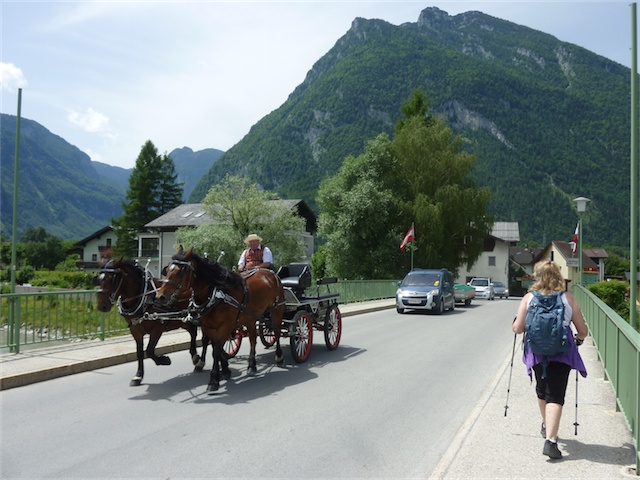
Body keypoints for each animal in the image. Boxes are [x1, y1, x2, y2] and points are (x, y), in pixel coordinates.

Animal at [94, 258, 205, 386]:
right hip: (183, 321)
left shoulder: (157, 329)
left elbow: (149, 351)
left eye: (112, 279)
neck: (144, 296)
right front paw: (138, 375)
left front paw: (164, 360)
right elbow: (140, 352)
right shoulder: (135, 330)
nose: (101, 306)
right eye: (99, 279)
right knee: (193, 333)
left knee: (204, 338)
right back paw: (195, 357)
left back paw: (199, 362)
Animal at [152, 248, 284, 394]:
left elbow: (216, 351)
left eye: (180, 271)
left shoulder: (225, 326)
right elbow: (216, 348)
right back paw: (251, 365)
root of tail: (271, 274)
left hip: (277, 312)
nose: (159, 297)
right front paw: (225, 371)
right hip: (250, 317)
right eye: (168, 269)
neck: (215, 293)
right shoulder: (209, 327)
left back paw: (279, 357)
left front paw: (214, 380)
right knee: (253, 339)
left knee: (277, 332)